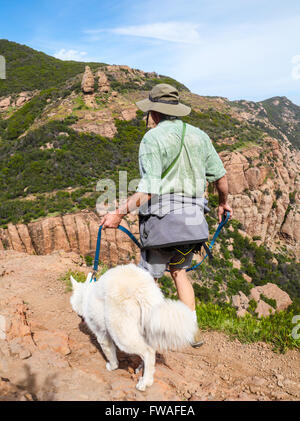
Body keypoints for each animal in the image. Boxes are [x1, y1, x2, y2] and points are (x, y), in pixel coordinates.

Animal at [70, 262, 197, 390]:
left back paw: (144, 383)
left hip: (121, 334)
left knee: (148, 352)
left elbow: (110, 354)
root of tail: (141, 289)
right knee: (151, 351)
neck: (86, 295)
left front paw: (111, 366)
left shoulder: (102, 335)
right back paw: (144, 374)